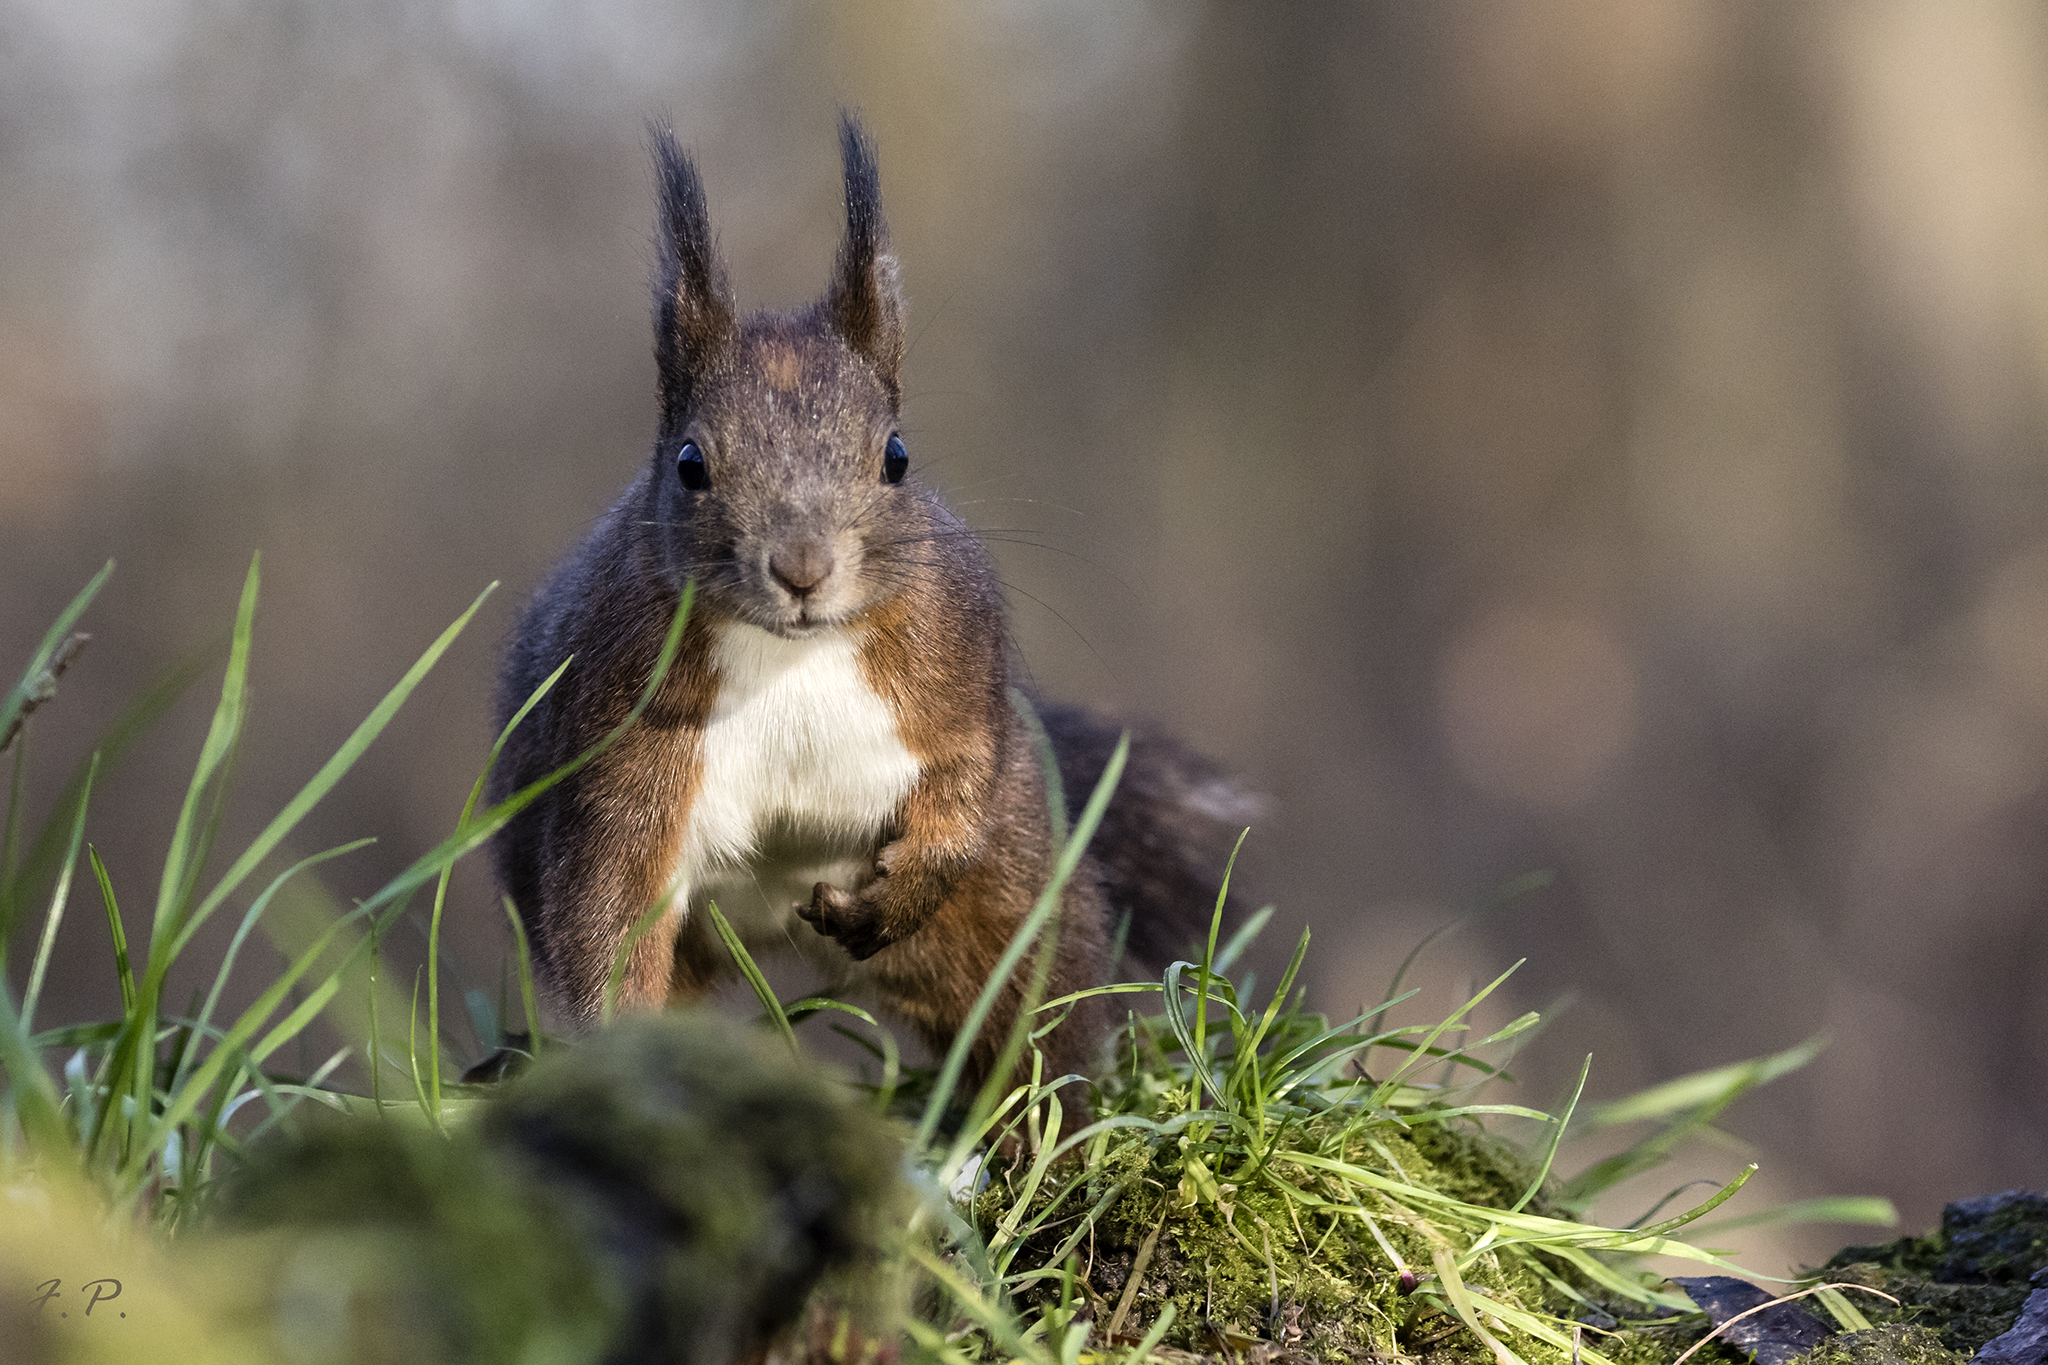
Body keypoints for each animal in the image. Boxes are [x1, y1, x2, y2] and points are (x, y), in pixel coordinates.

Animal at [485, 116, 1256, 1092]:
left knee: (1032, 1015)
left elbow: (962, 785)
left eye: (896, 455)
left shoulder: (957, 667)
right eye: (691, 463)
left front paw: (906, 889)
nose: (802, 567)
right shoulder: (620, 760)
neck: (790, 655)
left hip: (1010, 900)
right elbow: (607, 924)